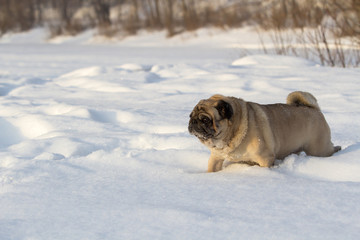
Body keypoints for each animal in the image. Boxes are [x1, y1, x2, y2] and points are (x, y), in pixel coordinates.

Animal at [188, 91, 340, 172]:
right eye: (190, 116)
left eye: (205, 119)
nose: (193, 122)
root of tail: (314, 109)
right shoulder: (216, 157)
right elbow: (212, 167)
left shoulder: (265, 159)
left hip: (318, 149)